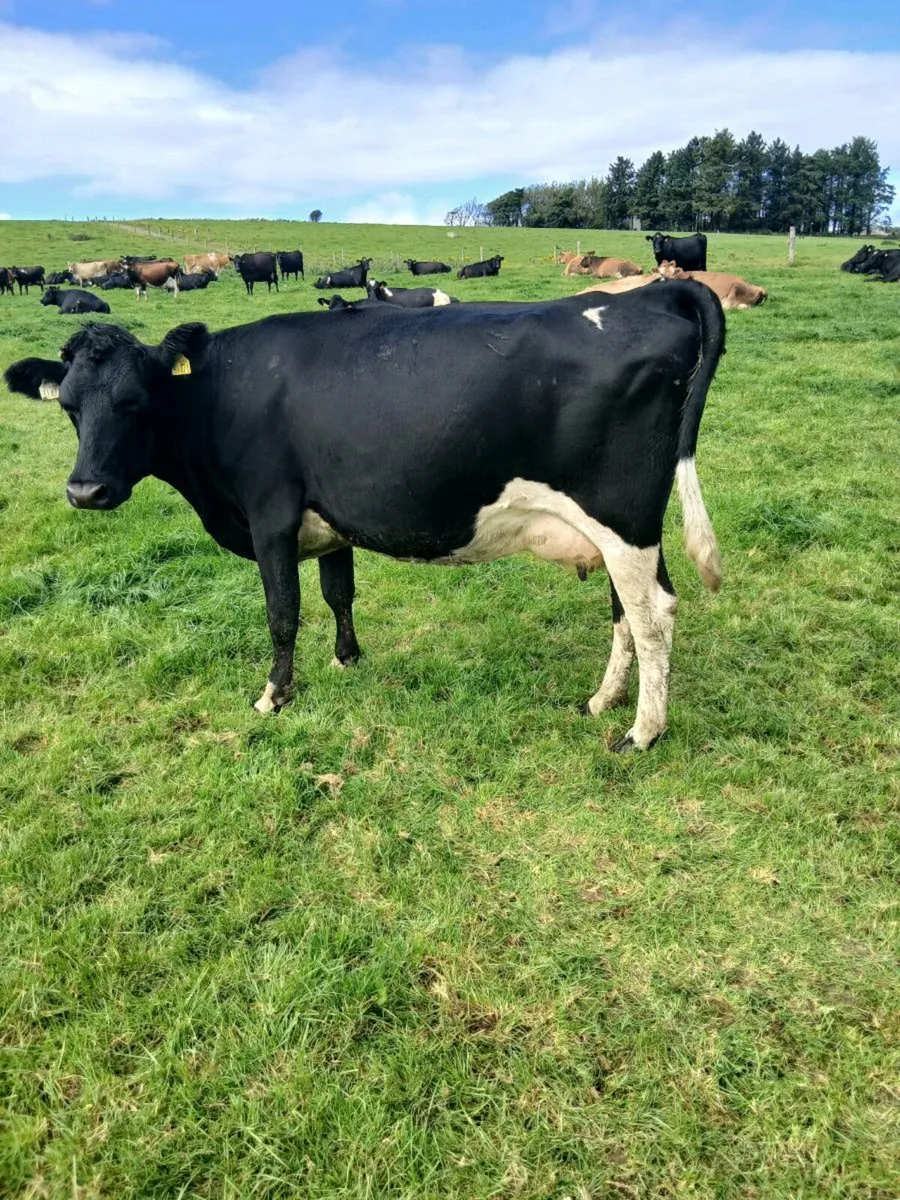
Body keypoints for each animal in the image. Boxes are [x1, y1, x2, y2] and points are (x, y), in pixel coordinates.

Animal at [5, 280, 725, 751]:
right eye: (69, 407)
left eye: (136, 402)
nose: (85, 491)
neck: (220, 393)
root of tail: (652, 292)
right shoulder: (329, 520)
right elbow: (338, 592)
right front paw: (347, 660)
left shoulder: (270, 514)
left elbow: (283, 613)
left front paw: (274, 695)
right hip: (623, 531)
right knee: (627, 611)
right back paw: (603, 701)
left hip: (622, 517)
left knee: (653, 614)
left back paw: (641, 732)